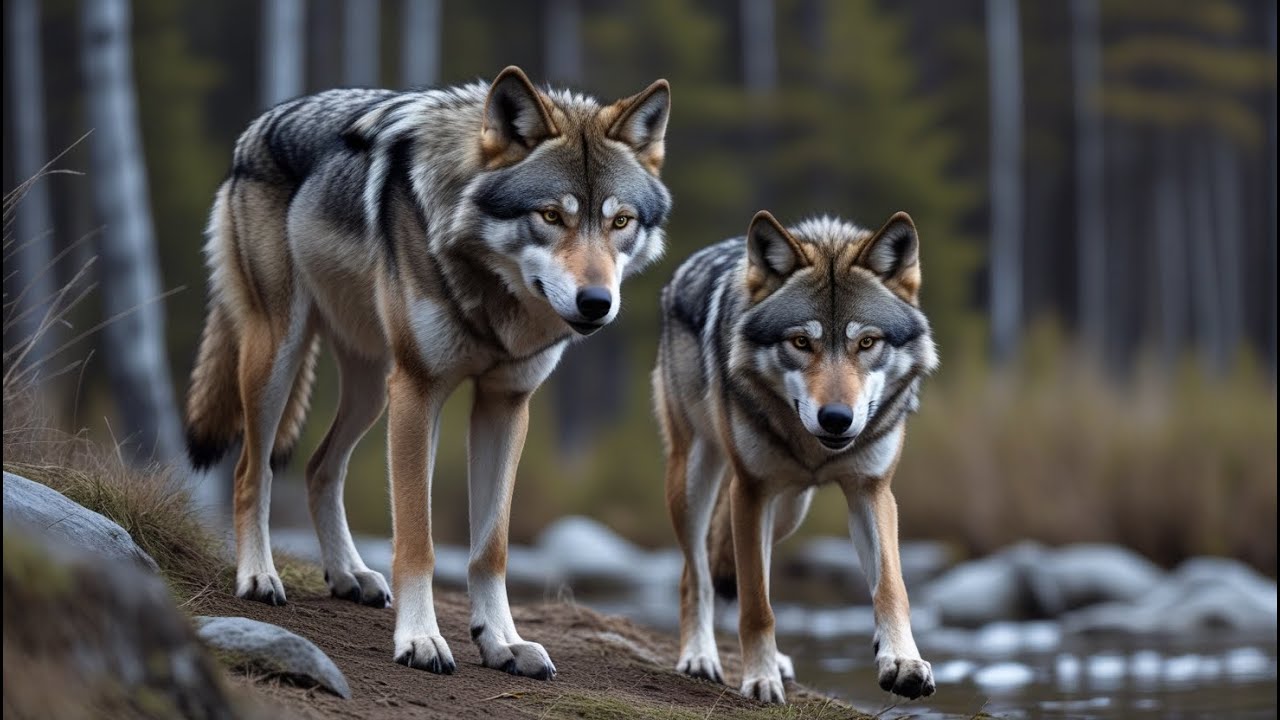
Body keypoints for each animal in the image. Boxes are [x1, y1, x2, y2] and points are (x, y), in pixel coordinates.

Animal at [184, 66, 671, 679]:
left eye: (620, 221)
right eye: (551, 216)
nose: (596, 303)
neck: (492, 295)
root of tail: (262, 123)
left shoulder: (505, 404)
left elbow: (492, 548)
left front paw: (502, 641)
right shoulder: (419, 391)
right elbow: (418, 539)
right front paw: (419, 639)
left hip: (372, 389)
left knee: (321, 467)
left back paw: (348, 574)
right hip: (283, 356)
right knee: (253, 469)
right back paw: (258, 576)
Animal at [653, 210, 938, 703]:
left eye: (867, 343)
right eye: (801, 342)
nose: (837, 419)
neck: (814, 451)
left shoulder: (871, 491)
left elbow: (891, 588)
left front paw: (902, 662)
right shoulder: (750, 491)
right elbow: (757, 605)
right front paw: (759, 678)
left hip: (788, 510)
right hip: (696, 478)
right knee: (697, 575)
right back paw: (700, 657)